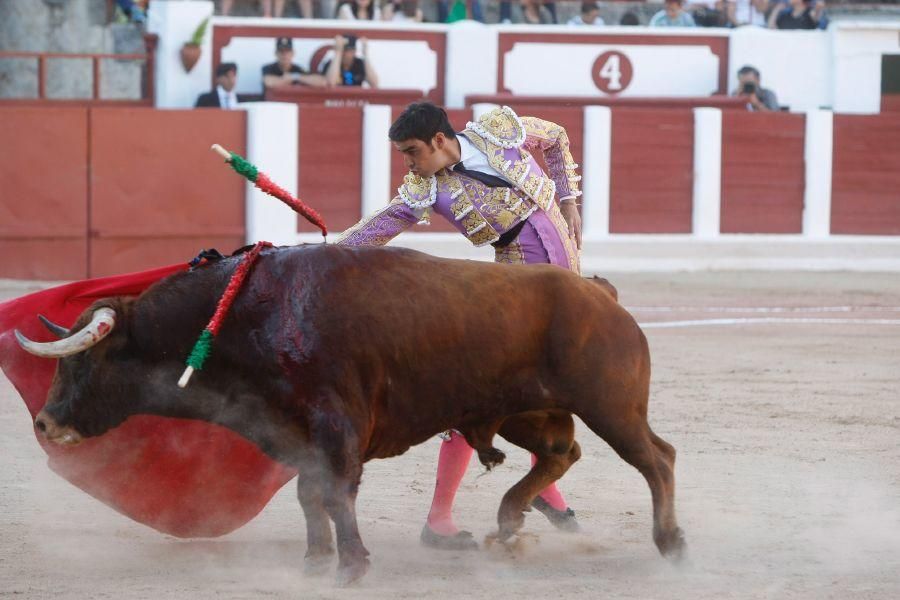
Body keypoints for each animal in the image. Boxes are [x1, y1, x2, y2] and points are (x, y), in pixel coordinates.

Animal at [14, 243, 684, 580]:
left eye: (84, 361)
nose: (44, 423)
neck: (249, 316)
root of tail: (600, 293)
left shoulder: (335, 427)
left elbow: (335, 494)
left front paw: (352, 565)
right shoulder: (292, 432)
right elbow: (310, 495)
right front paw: (316, 561)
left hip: (611, 406)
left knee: (656, 459)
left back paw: (670, 543)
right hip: (527, 411)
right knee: (562, 453)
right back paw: (507, 521)